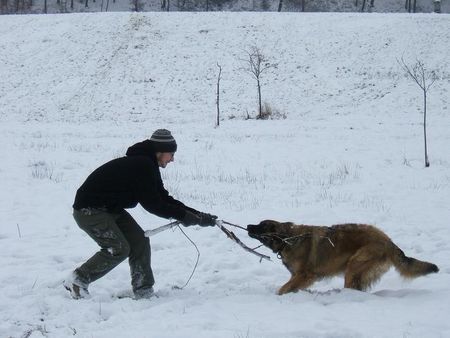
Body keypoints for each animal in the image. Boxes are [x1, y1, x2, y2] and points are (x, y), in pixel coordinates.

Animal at [246, 220, 440, 294]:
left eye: (261, 226)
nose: (248, 225)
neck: (288, 239)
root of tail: (388, 241)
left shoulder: (305, 275)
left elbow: (283, 289)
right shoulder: (298, 276)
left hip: (355, 264)